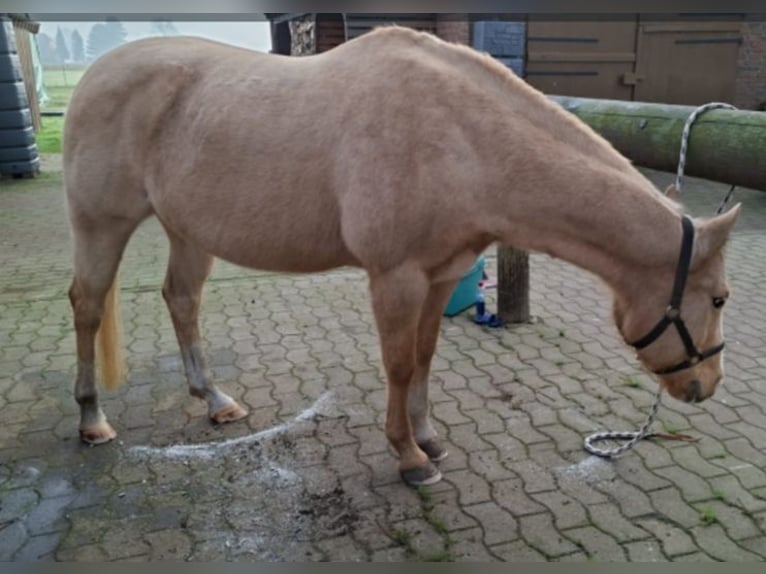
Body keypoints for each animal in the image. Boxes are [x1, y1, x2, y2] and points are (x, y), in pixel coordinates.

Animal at [63, 26, 740, 486]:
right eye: (718, 298)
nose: (706, 386)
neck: (461, 137)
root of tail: (96, 74)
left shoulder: (439, 278)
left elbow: (423, 360)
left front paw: (428, 438)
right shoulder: (396, 279)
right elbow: (396, 365)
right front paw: (409, 458)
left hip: (187, 231)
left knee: (181, 300)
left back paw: (216, 401)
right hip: (101, 226)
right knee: (87, 306)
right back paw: (92, 420)